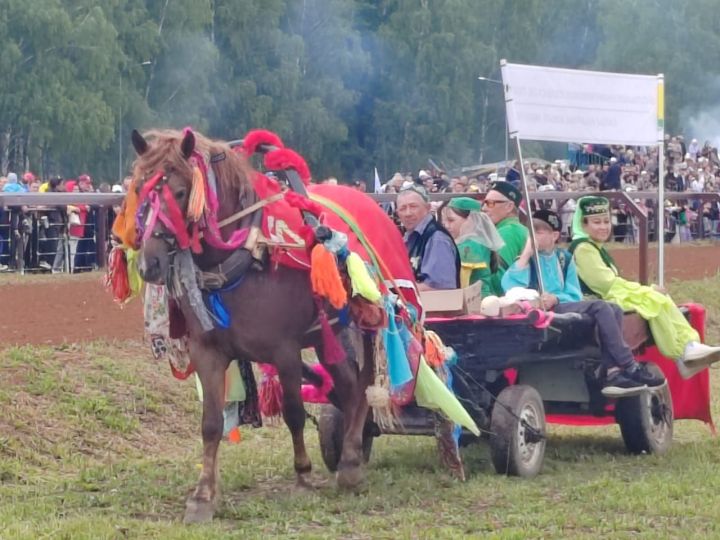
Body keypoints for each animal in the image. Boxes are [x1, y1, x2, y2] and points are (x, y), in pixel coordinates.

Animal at [131, 127, 374, 524]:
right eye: (138, 187)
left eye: (180, 192)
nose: (149, 264)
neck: (245, 257)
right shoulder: (208, 353)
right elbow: (211, 424)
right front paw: (203, 495)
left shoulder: (285, 351)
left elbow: (293, 413)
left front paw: (302, 476)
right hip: (330, 335)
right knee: (352, 387)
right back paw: (352, 458)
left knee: (365, 386)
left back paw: (351, 462)